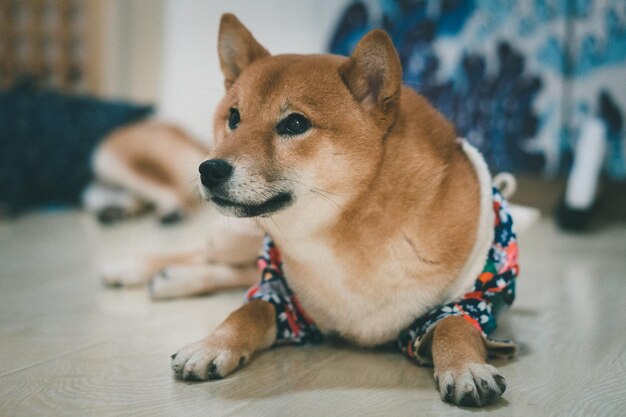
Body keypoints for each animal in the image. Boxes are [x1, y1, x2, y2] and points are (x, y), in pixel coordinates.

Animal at [171, 13, 536, 406]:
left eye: (295, 123)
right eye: (234, 117)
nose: (209, 169)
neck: (343, 233)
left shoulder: (473, 297)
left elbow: (455, 325)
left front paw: (466, 367)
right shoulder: (283, 296)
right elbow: (249, 309)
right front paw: (211, 345)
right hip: (234, 236)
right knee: (211, 259)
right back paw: (157, 275)